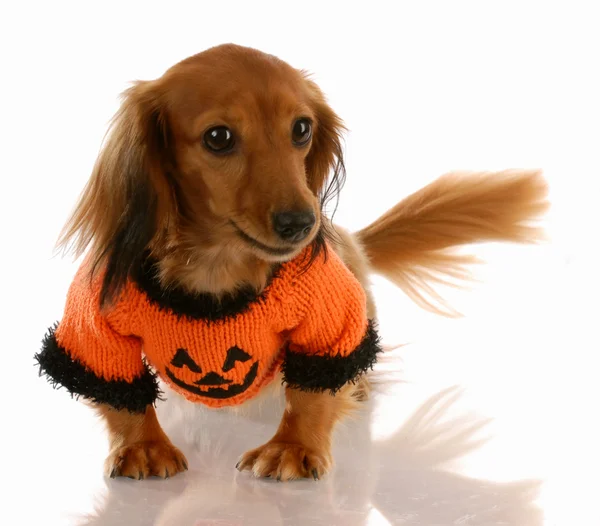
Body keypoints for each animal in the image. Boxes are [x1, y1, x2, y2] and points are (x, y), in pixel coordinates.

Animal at [34, 44, 548, 482]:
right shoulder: (94, 329)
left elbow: (311, 393)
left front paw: (293, 448)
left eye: (301, 129)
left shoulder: (330, 319)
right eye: (218, 137)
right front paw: (142, 445)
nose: (302, 223)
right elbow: (119, 393)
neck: (217, 267)